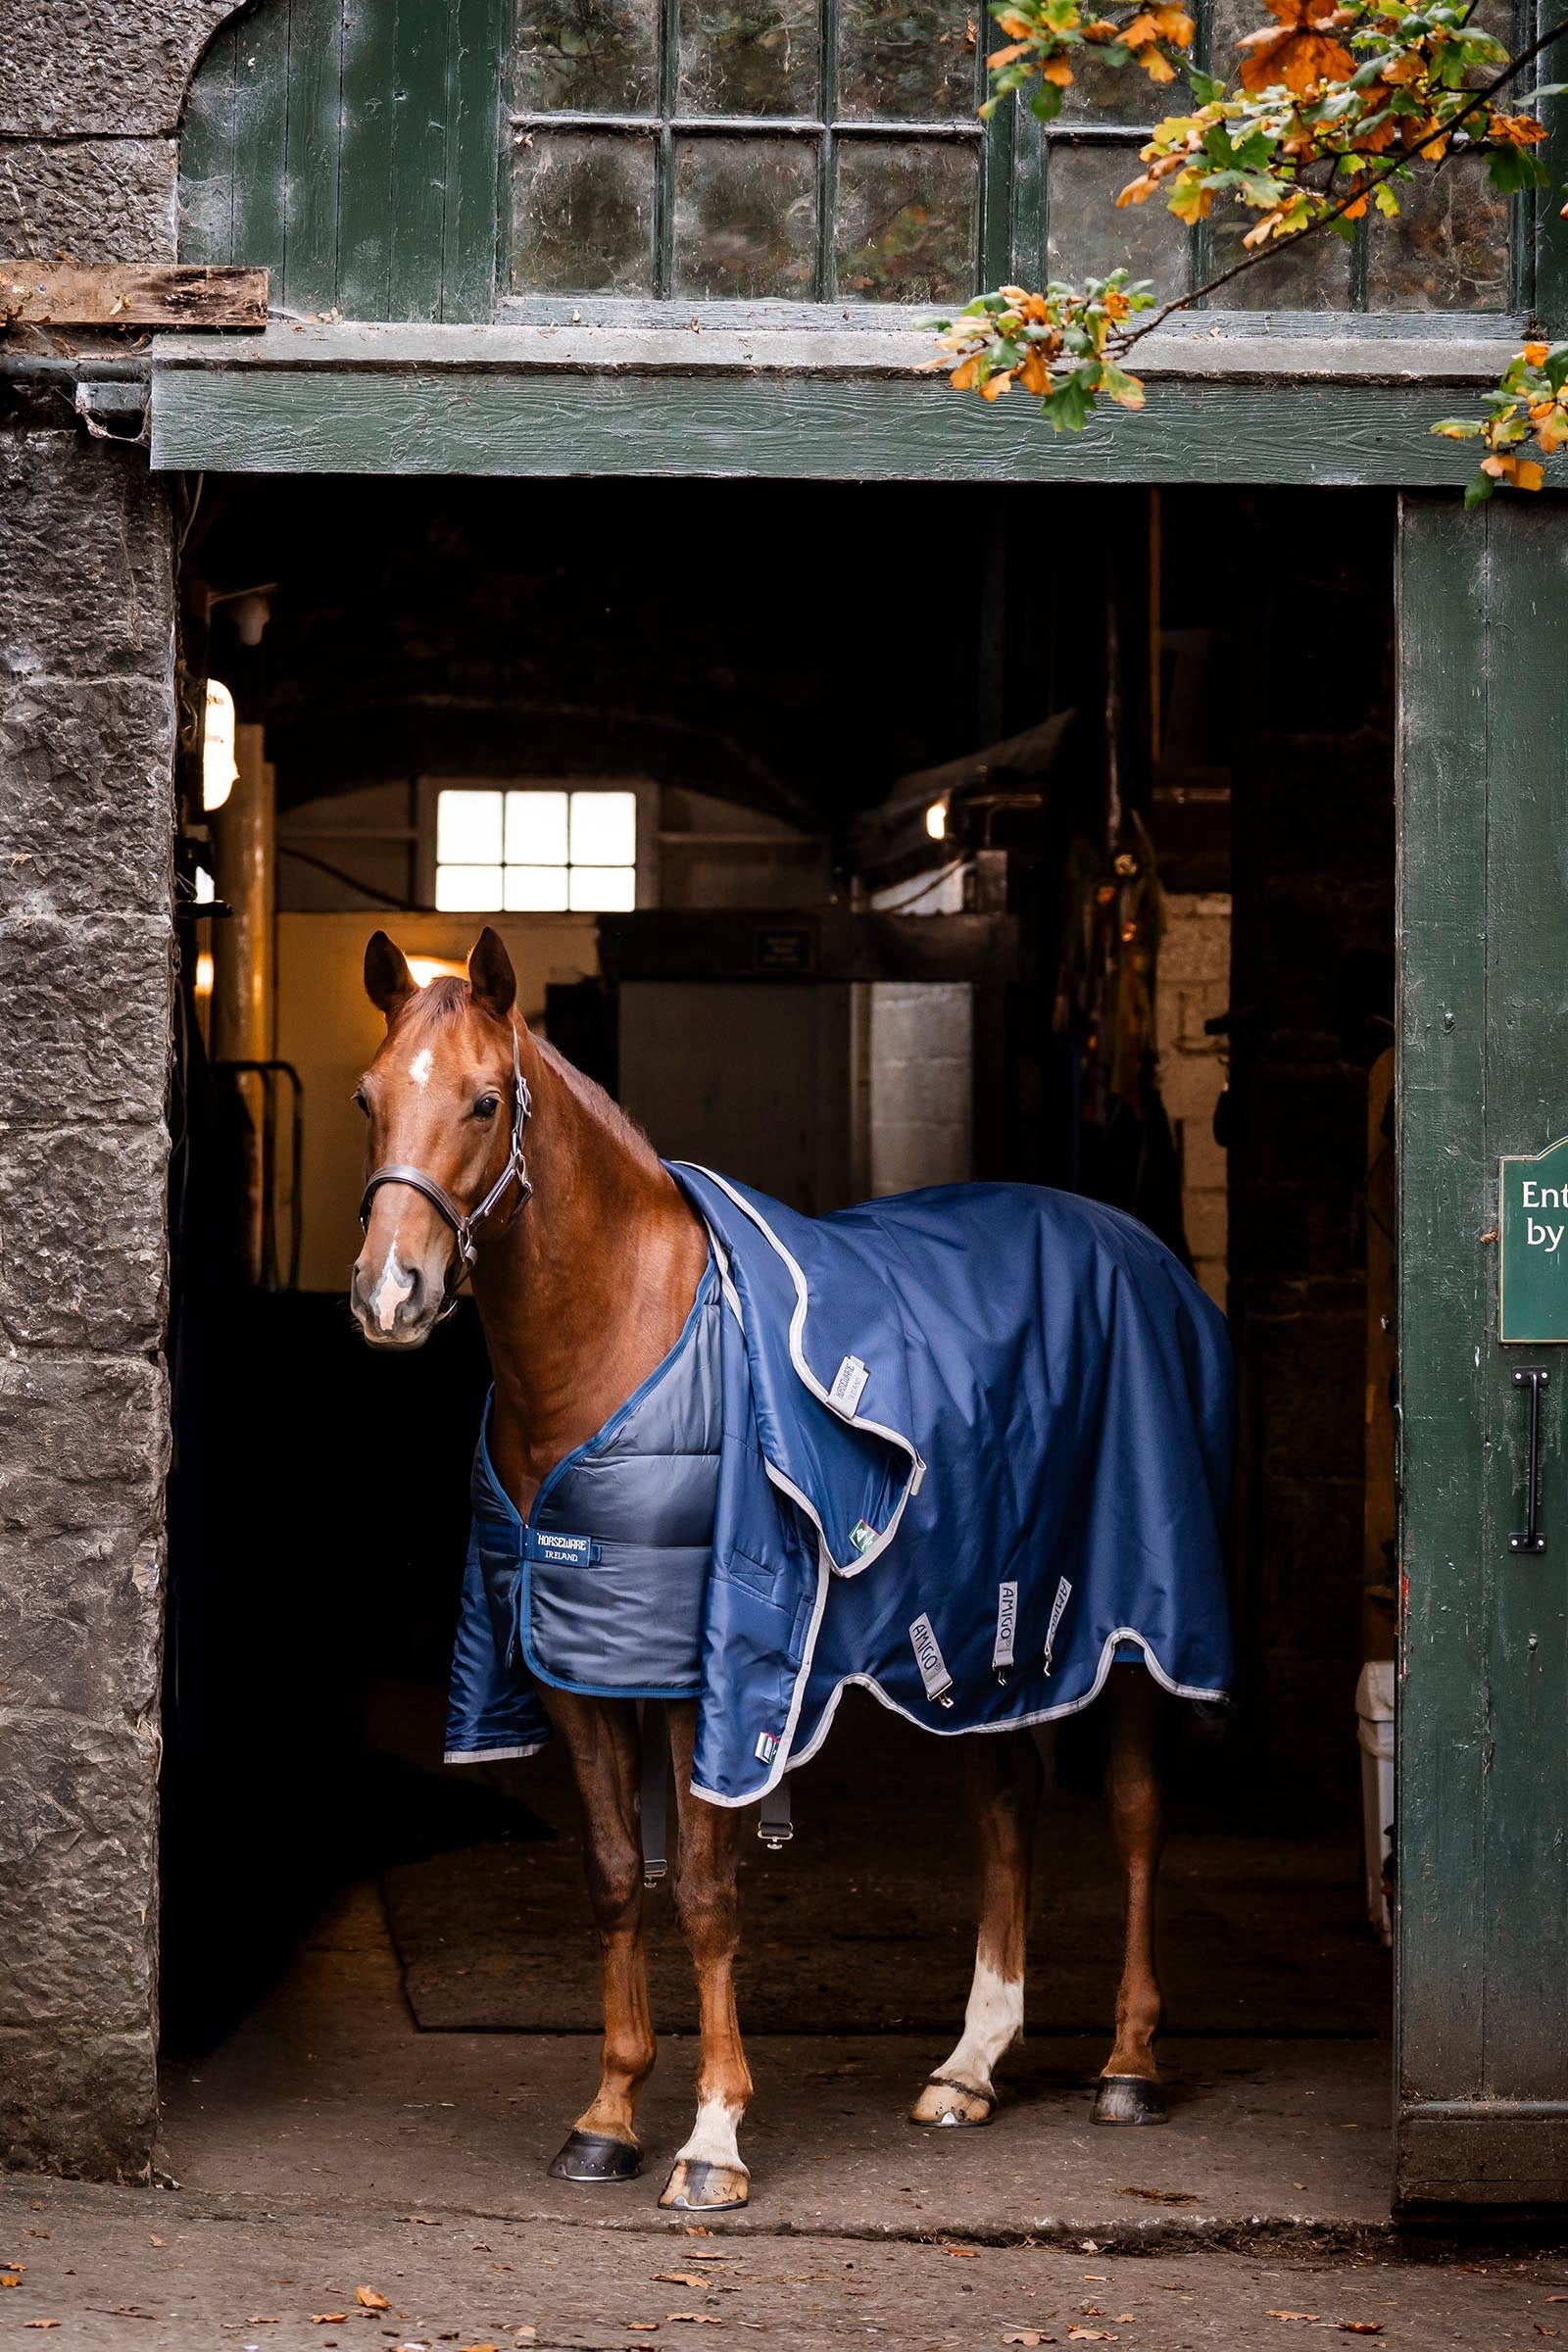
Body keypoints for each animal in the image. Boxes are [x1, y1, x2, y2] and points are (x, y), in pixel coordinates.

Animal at [349, 925, 1228, 2213]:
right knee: (1006, 1807)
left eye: (485, 1100)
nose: (388, 1295)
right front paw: (607, 2117)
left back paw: (1127, 2064)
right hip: (978, 1641)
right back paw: (968, 2067)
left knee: (1131, 1813)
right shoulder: (574, 1666)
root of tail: (1147, 1255)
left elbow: (705, 1896)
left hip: (1132, 1634)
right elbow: (613, 1876)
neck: (617, 1339)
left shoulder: (706, 1677)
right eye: (368, 1099)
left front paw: (713, 2139)